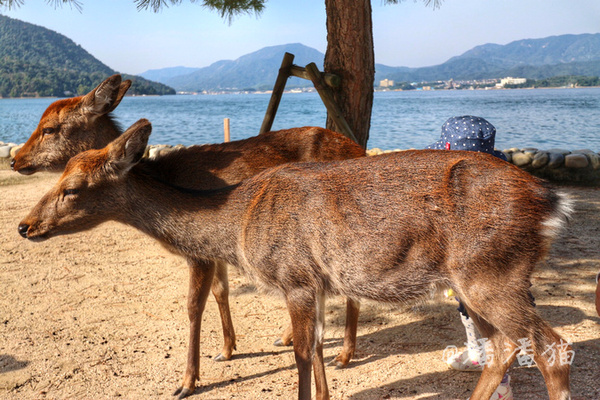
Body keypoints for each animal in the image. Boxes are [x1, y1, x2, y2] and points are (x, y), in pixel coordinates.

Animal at [10, 74, 366, 366]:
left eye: (49, 128)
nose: (15, 159)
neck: (163, 178)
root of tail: (360, 150)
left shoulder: (200, 250)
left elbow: (195, 305)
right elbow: (221, 291)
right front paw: (226, 349)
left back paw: (344, 354)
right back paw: (288, 336)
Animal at [17, 119, 572, 400]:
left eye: (73, 187)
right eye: (60, 176)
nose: (25, 226)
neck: (238, 226)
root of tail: (551, 201)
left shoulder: (297, 277)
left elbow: (303, 356)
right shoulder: (317, 285)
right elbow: (318, 355)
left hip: (490, 271)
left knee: (552, 345)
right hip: (481, 279)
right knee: (505, 348)